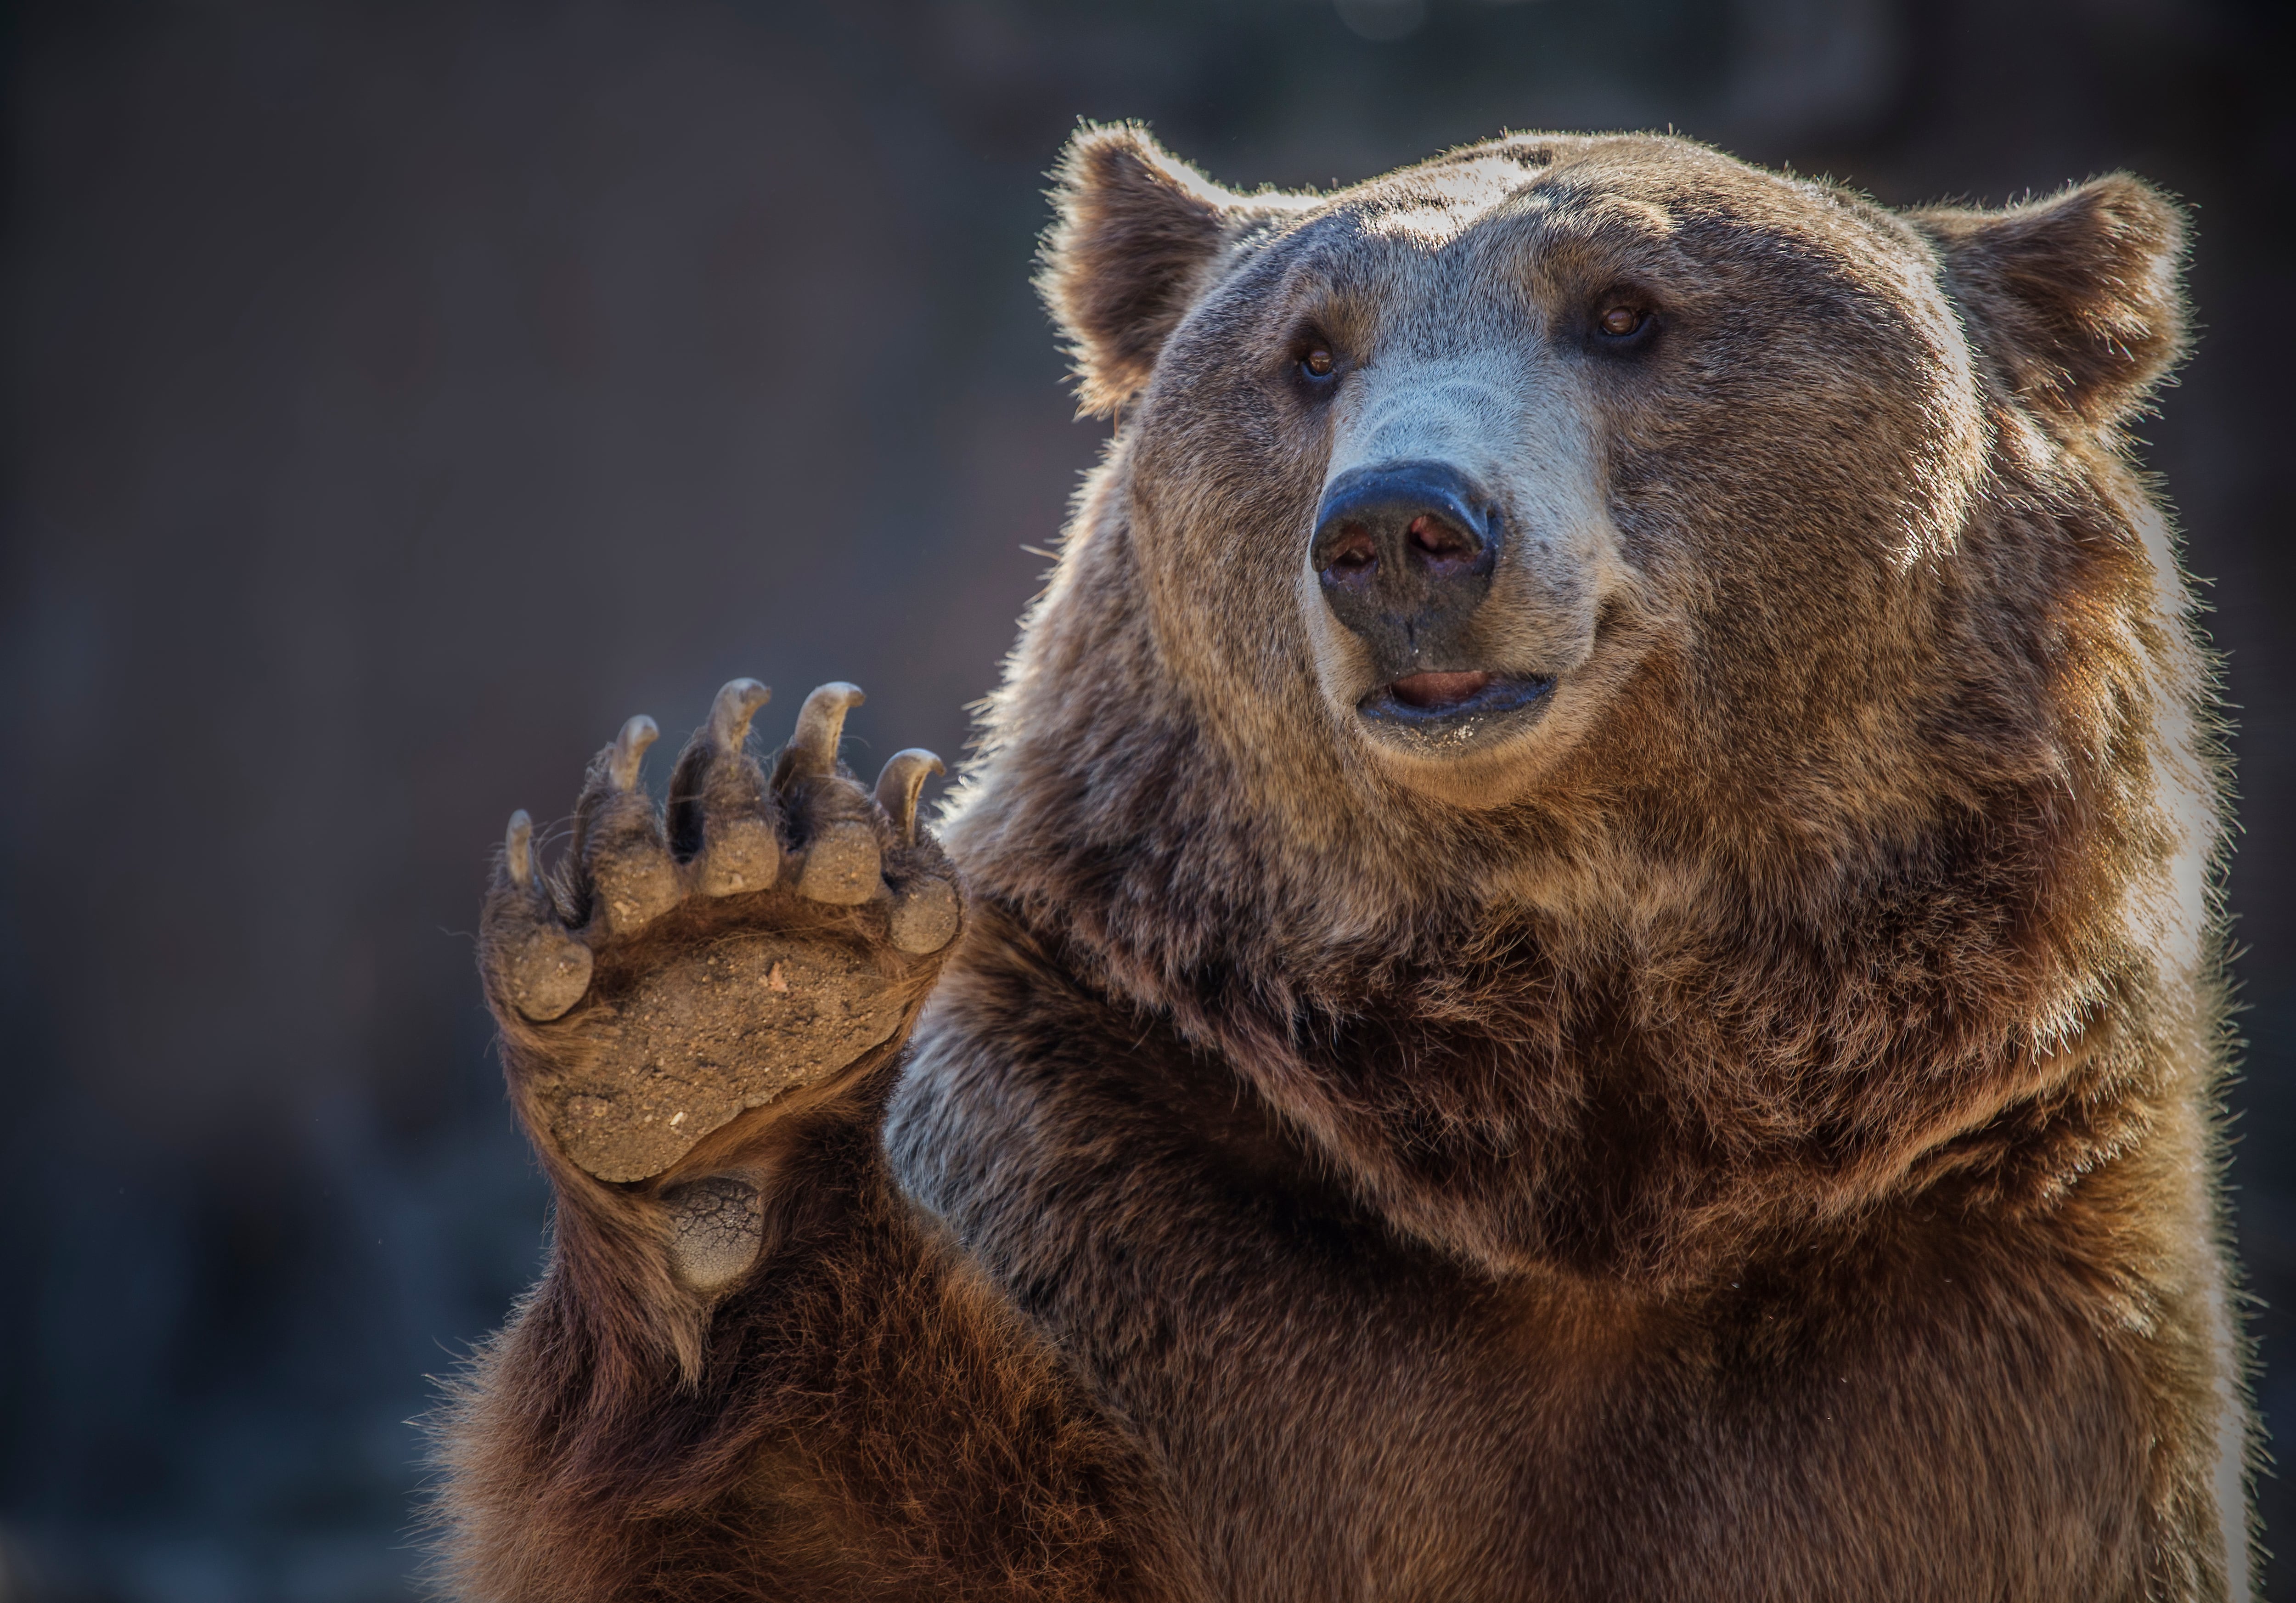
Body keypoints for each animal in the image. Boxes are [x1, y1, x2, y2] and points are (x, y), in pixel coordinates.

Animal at [432, 128, 2241, 1598]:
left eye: (1627, 311)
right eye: (1310, 351)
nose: (1399, 528)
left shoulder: (1976, 1317)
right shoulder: (1140, 1186)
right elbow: (837, 1530)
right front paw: (719, 997)